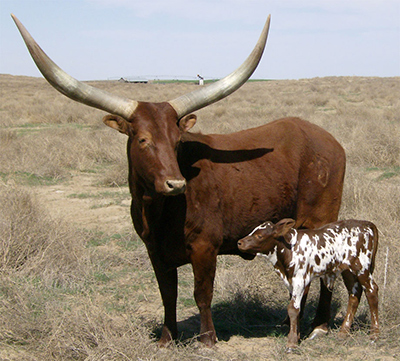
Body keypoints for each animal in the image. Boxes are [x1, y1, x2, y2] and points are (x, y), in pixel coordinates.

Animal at [10, 14, 346, 346]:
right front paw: (166, 338)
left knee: (327, 274)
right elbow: (167, 295)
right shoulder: (154, 250)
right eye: (143, 140)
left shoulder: (205, 246)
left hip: (320, 220)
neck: (158, 210)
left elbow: (201, 294)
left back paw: (319, 326)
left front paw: (207, 339)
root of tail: (327, 139)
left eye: (176, 141)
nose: (176, 184)